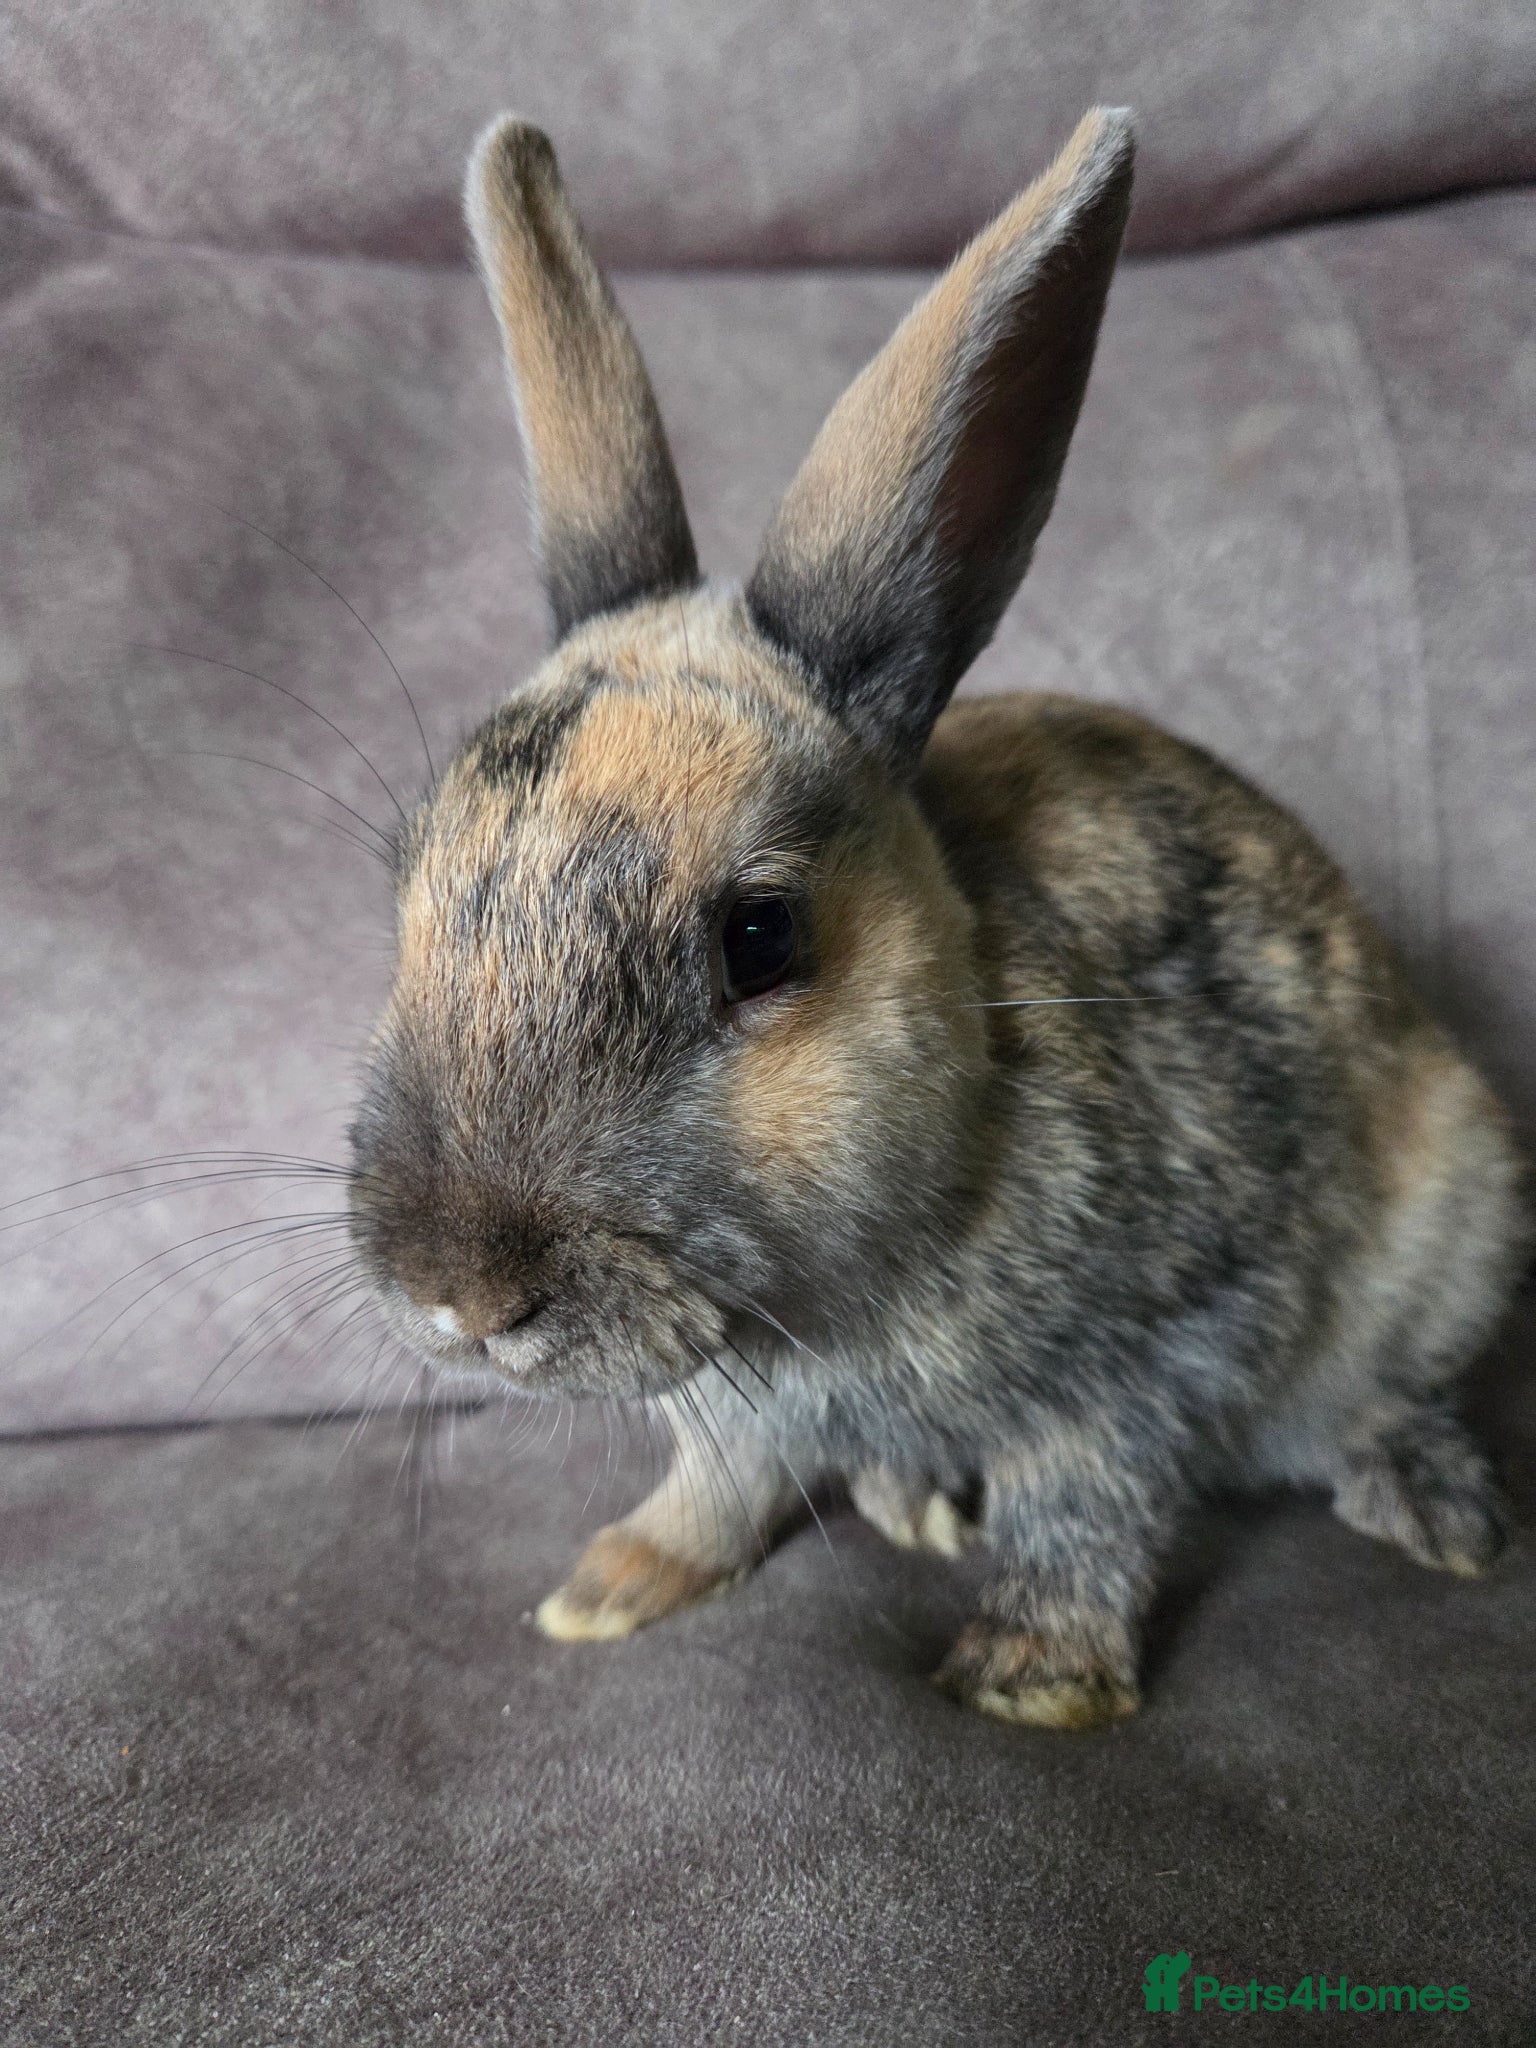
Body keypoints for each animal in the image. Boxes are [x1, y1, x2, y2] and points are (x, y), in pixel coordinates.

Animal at [346, 106, 1526, 1730]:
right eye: (406, 886)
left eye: (760, 937)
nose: (459, 1298)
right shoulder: (739, 1411)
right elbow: (720, 1484)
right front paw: (609, 1588)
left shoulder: (1156, 1341)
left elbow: (1086, 1497)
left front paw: (1030, 1681)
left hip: (1453, 1226)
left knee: (1389, 1389)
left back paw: (1437, 1512)